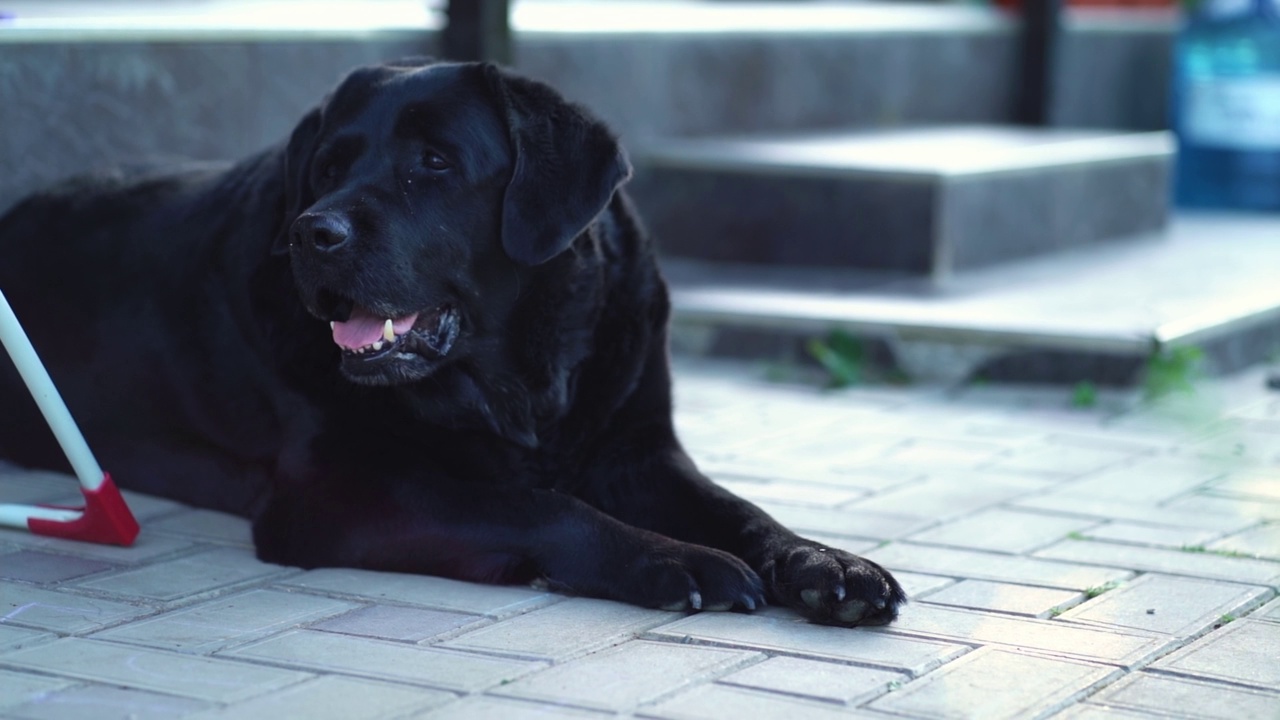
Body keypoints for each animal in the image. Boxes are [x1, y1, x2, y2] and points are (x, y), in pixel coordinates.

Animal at [0, 58, 906, 625]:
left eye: (434, 163)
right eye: (327, 167)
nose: (311, 234)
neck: (526, 375)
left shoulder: (639, 452)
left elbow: (745, 511)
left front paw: (828, 566)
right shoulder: (332, 490)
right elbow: (533, 502)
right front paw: (674, 560)